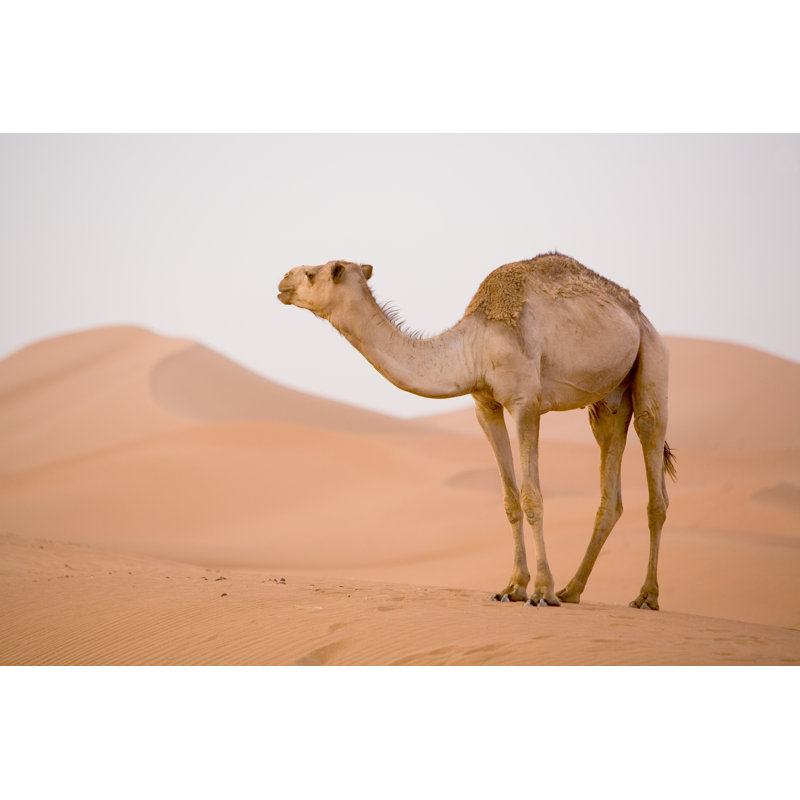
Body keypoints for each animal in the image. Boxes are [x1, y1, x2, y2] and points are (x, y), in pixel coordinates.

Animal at [277, 253, 675, 609]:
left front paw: (541, 591)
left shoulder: (526, 403)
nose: (282, 281)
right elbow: (510, 499)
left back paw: (645, 596)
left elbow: (532, 497)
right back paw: (572, 590)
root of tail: (639, 315)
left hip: (652, 363)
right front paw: (513, 587)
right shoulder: (485, 405)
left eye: (311, 274)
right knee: (611, 492)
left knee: (654, 471)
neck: (475, 345)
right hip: (609, 400)